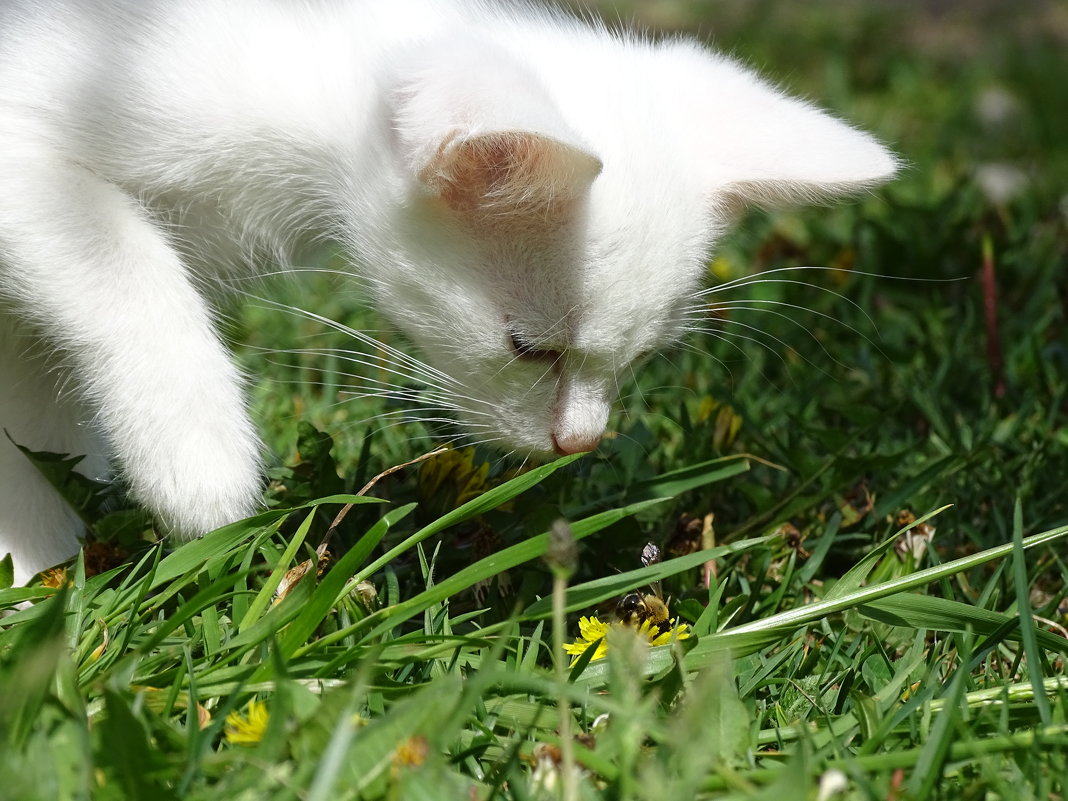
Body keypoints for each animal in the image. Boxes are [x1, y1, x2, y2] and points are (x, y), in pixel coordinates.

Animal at [0, 3, 897, 585]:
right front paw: (196, 464)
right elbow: (118, 264)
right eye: (529, 347)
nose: (580, 442)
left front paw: (41, 562)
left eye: (639, 359)